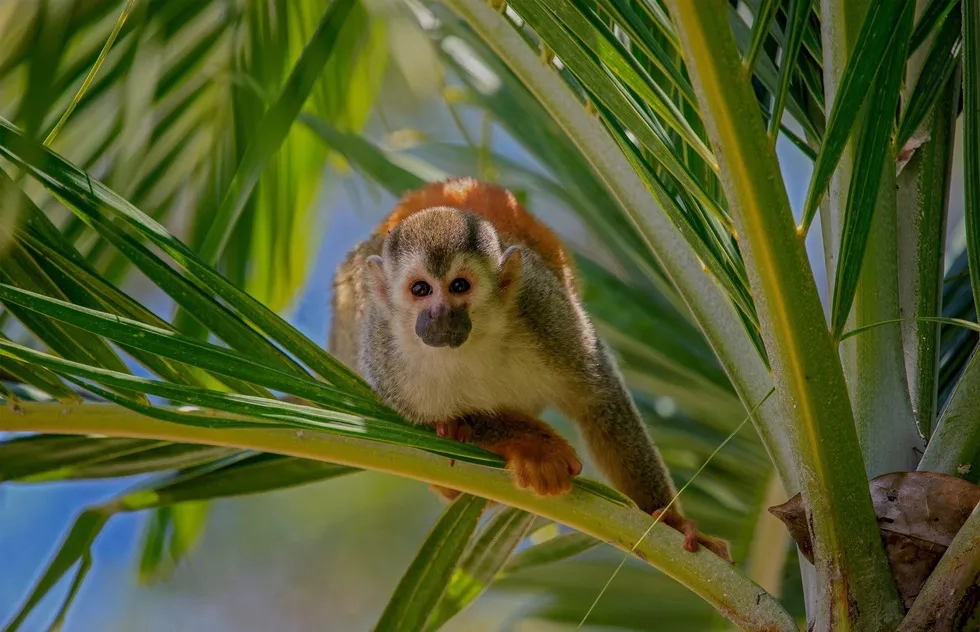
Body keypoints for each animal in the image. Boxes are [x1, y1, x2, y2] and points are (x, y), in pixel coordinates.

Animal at [328, 177, 730, 560]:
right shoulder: (388, 362)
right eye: (420, 290)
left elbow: (598, 397)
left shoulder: (545, 312)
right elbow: (414, 426)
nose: (440, 315)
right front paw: (533, 446)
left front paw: (668, 520)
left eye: (459, 286)